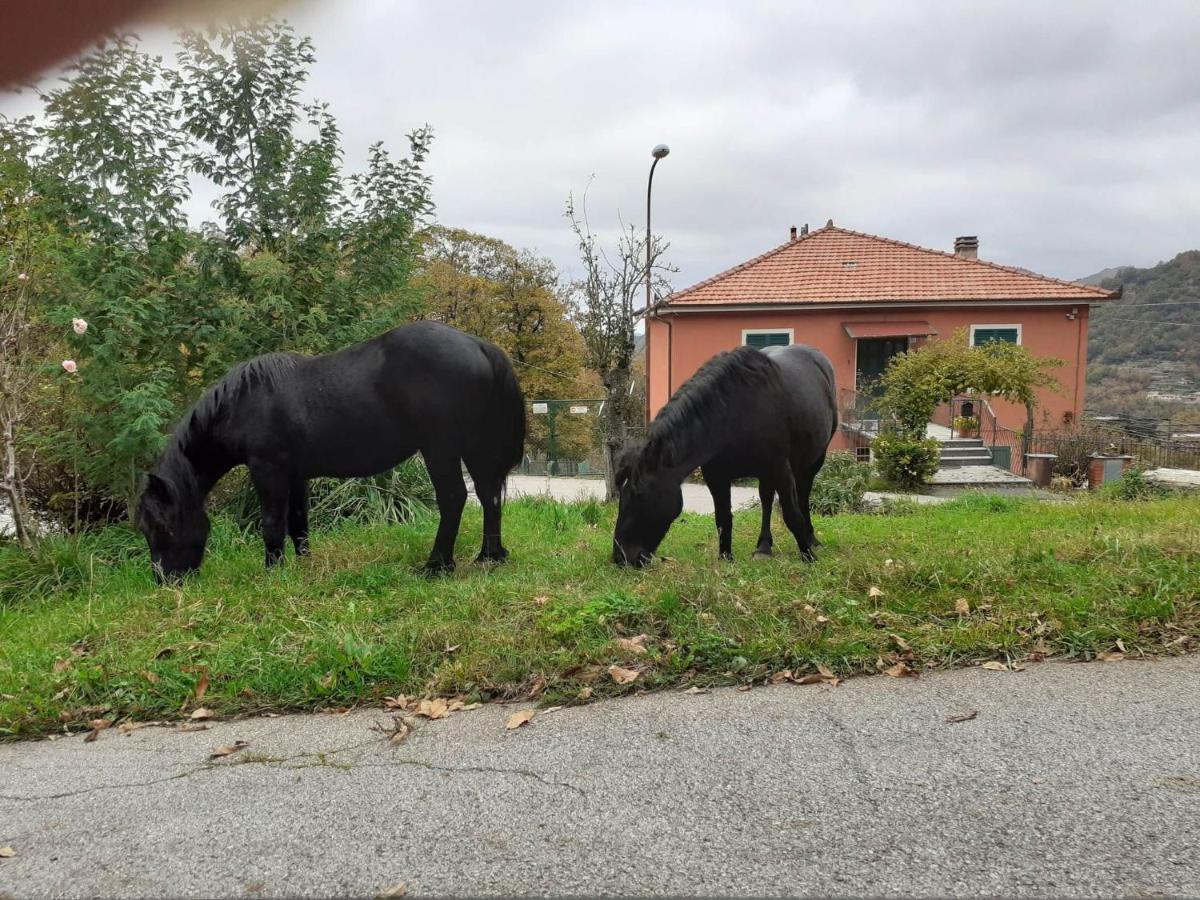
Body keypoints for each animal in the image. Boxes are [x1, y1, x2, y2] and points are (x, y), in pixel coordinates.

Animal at [136, 321, 525, 580]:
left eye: (163, 527)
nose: (166, 581)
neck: (245, 401)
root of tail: (478, 345)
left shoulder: (268, 471)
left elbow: (272, 523)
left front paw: (272, 572)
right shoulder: (295, 476)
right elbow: (298, 522)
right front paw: (303, 564)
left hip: (440, 448)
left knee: (455, 498)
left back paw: (436, 566)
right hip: (474, 447)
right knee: (489, 496)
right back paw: (490, 557)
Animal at [609, 345, 835, 571]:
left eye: (639, 495)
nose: (621, 558)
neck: (735, 413)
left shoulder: (780, 469)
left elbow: (791, 514)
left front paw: (808, 557)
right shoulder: (716, 477)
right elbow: (723, 518)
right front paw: (726, 559)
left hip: (813, 461)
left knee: (803, 495)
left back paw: (811, 540)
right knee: (766, 500)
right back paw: (763, 547)